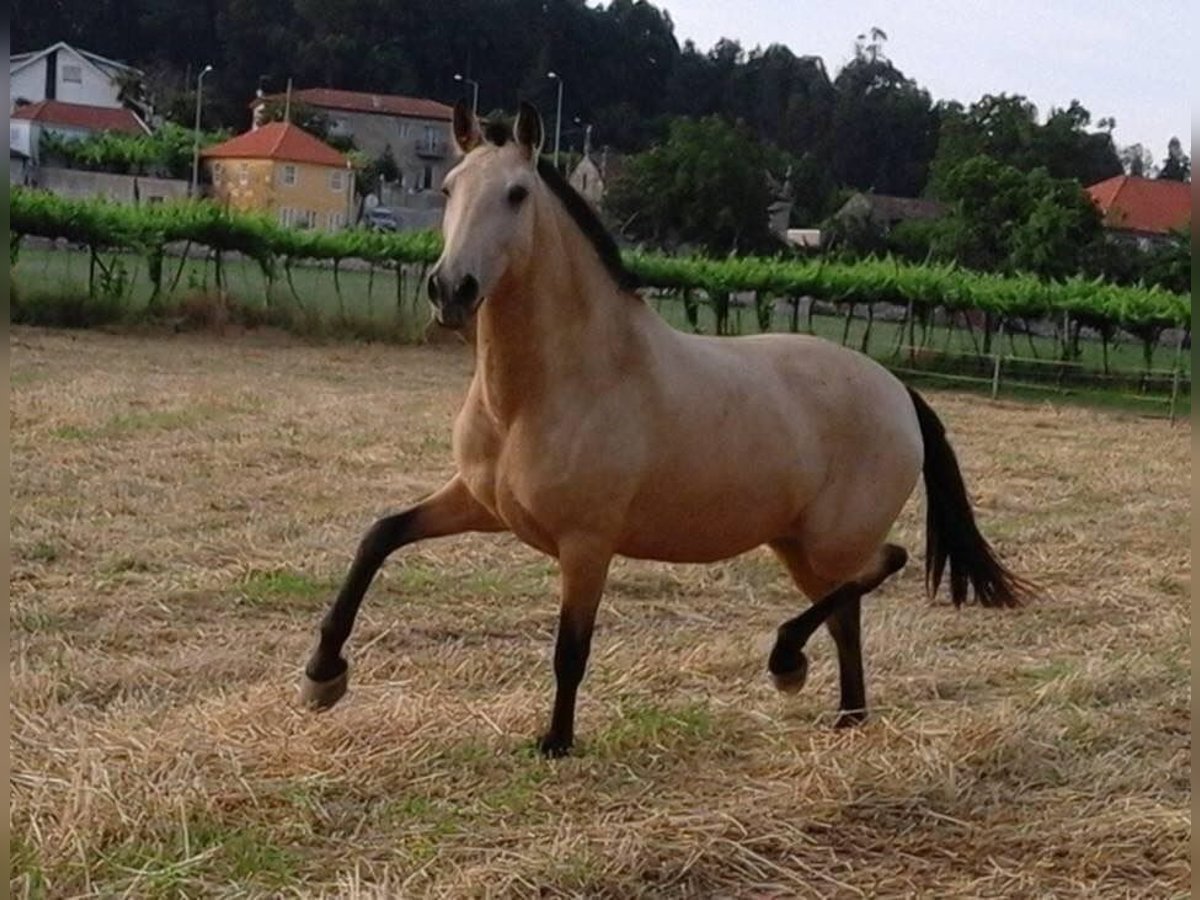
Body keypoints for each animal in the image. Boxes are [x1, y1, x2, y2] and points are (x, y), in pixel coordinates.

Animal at [297, 102, 1032, 758]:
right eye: (448, 188)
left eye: (516, 194)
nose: (452, 290)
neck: (547, 392)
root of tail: (898, 391)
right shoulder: (480, 504)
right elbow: (380, 536)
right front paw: (322, 677)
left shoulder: (587, 544)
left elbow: (571, 649)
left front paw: (556, 744)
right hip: (796, 543)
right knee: (846, 608)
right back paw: (844, 711)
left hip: (830, 538)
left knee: (884, 565)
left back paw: (786, 660)